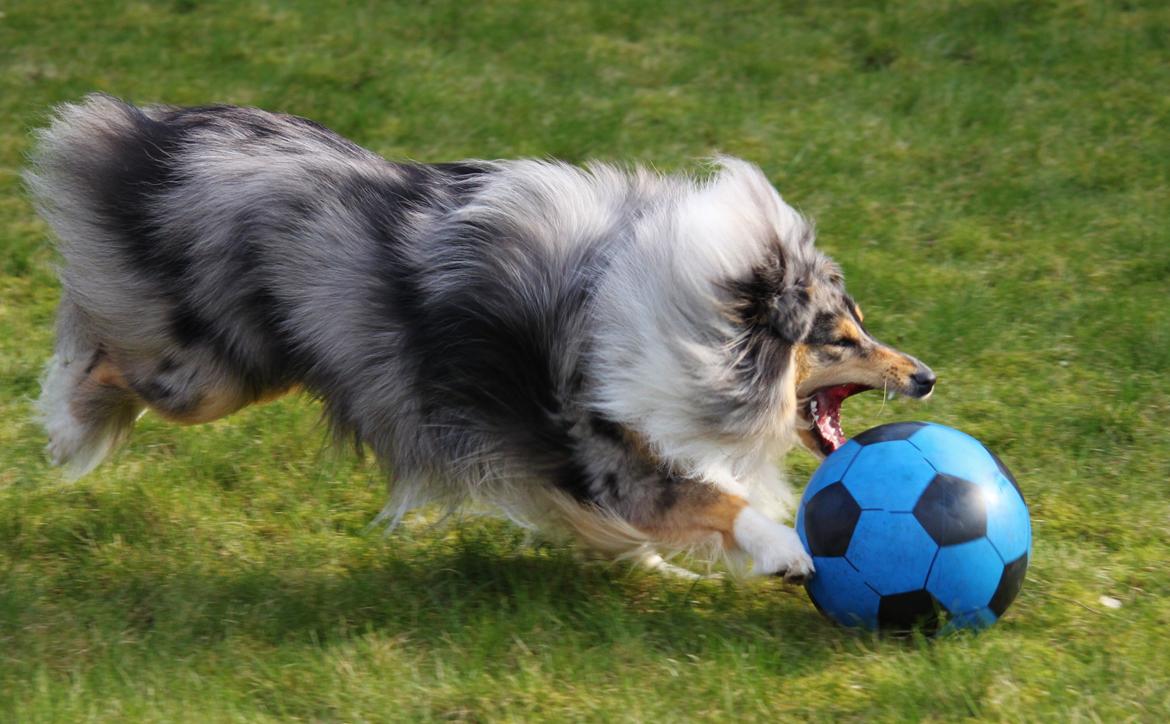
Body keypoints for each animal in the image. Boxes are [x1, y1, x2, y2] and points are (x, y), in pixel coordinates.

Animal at [27, 93, 935, 582]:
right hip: (208, 375)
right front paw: (784, 552)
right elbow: (720, 499)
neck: (703, 333)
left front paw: (651, 564)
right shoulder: (610, 454)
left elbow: (651, 521)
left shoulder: (594, 472)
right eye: (837, 339)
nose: (927, 377)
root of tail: (156, 134)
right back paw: (68, 426)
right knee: (103, 355)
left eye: (861, 326)